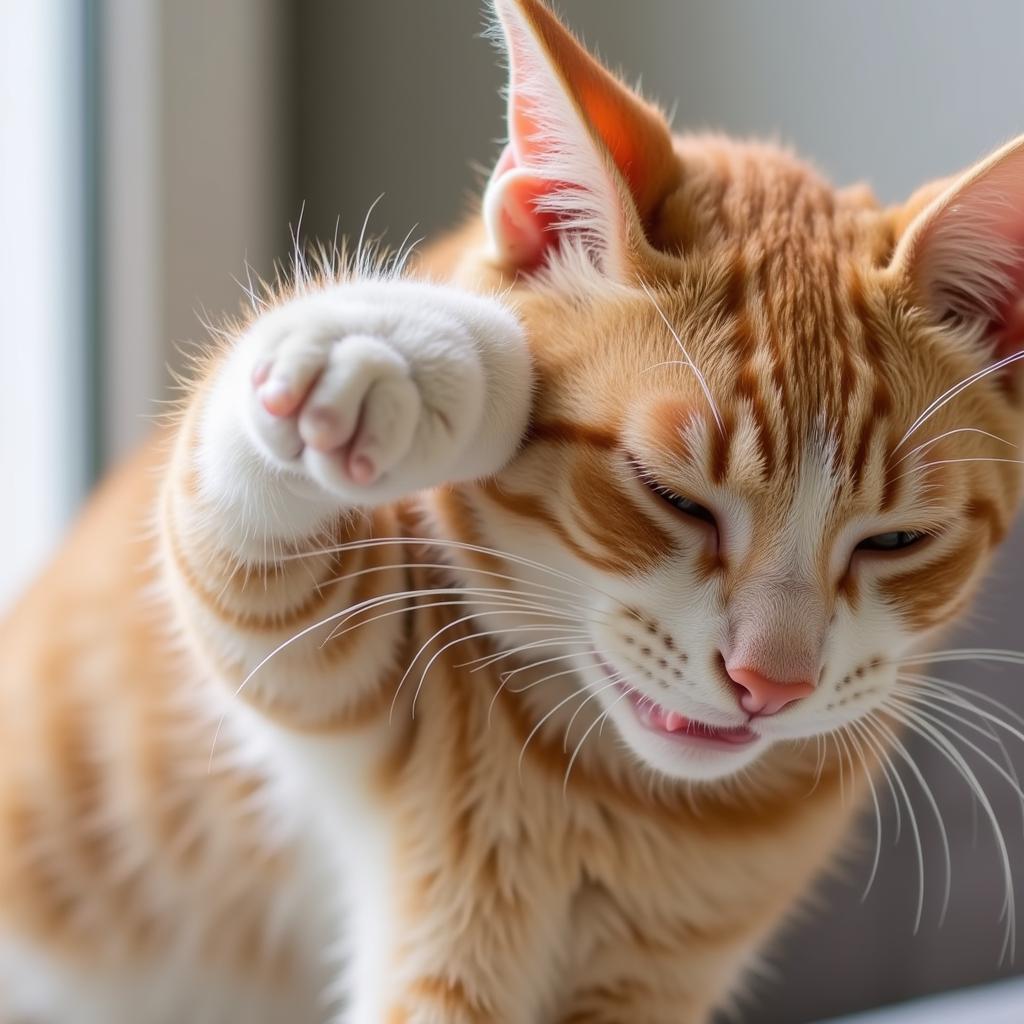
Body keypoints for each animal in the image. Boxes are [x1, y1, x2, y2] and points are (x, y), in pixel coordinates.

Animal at [2, 2, 1024, 1024]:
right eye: (671, 497)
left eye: (897, 540)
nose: (768, 683)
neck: (621, 795)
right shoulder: (321, 644)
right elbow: (239, 525)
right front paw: (423, 354)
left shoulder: (653, 981)